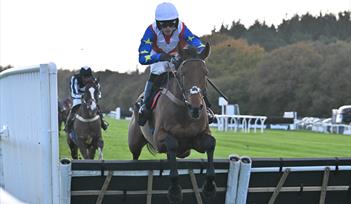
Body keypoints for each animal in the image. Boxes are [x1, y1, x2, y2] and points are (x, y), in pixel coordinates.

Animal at [129, 43, 217, 202]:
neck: (184, 113)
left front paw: (209, 187)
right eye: (182, 73)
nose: (195, 107)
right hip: (134, 142)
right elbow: (172, 144)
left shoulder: (197, 139)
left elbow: (210, 143)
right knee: (135, 155)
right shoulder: (159, 139)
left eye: (205, 73)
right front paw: (175, 190)